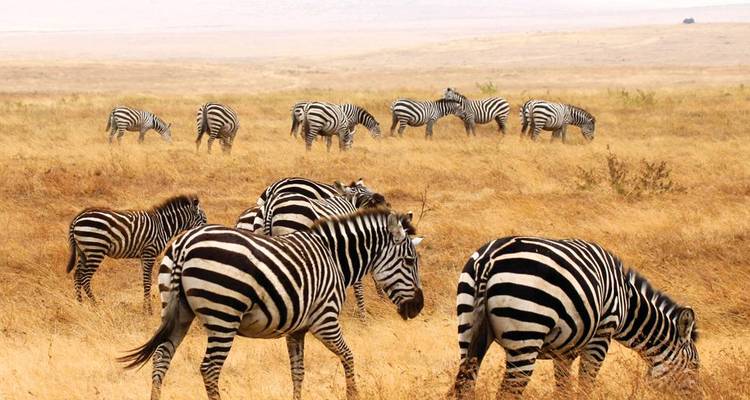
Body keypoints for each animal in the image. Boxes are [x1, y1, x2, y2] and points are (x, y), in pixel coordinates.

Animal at [66, 195, 207, 313]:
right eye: (204, 220)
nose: (204, 235)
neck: (163, 226)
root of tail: (78, 218)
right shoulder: (149, 253)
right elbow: (148, 282)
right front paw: (148, 311)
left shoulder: (143, 256)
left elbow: (145, 281)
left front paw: (145, 309)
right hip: (95, 249)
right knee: (85, 278)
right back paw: (95, 305)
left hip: (83, 252)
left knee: (77, 275)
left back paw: (80, 304)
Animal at [119, 209, 424, 400]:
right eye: (410, 261)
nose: (418, 307)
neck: (334, 258)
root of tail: (184, 245)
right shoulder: (324, 319)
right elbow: (349, 356)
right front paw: (353, 395)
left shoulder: (297, 328)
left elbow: (297, 372)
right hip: (223, 315)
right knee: (209, 369)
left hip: (177, 311)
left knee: (161, 357)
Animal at [452, 236, 700, 399]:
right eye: (695, 365)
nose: (700, 394)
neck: (627, 301)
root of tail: (489, 260)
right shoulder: (602, 333)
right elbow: (586, 384)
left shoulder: (564, 350)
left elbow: (563, 389)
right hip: (526, 332)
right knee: (508, 392)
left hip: (467, 326)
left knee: (465, 385)